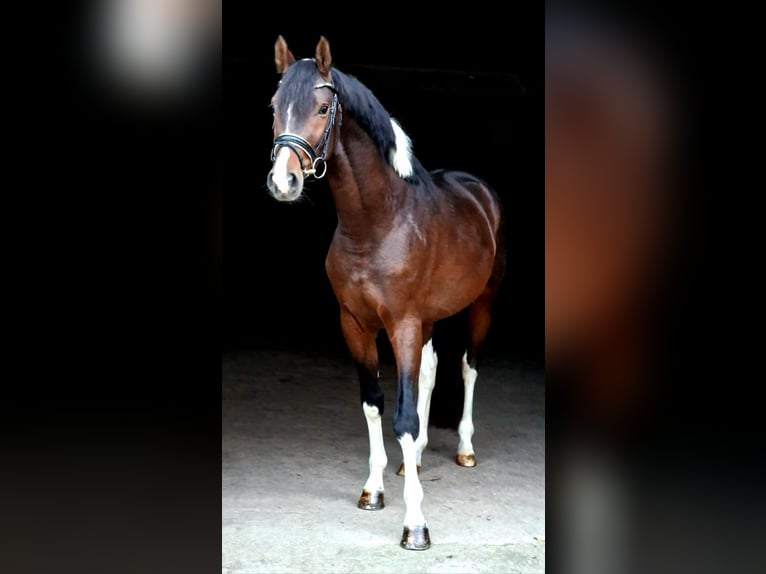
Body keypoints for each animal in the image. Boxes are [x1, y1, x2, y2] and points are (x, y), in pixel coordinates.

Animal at [268, 36, 508, 552]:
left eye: (323, 108)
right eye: (274, 108)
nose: (284, 181)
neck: (376, 223)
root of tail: (480, 191)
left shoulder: (402, 325)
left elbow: (404, 417)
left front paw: (415, 524)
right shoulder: (355, 324)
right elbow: (375, 404)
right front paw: (374, 490)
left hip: (481, 305)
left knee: (468, 367)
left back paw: (465, 449)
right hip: (430, 318)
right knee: (432, 370)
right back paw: (410, 460)